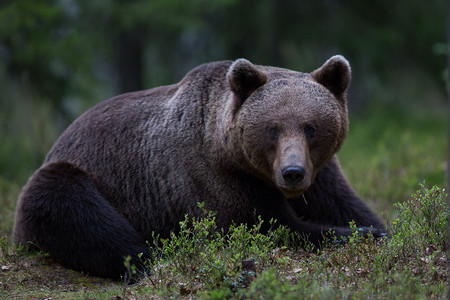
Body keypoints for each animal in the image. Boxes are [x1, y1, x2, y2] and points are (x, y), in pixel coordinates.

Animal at [14, 55, 386, 282]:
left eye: (311, 127)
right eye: (273, 129)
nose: (292, 173)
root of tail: (58, 141)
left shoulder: (321, 175)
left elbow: (346, 206)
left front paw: (374, 227)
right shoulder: (212, 178)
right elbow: (269, 225)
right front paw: (361, 234)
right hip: (75, 176)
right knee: (69, 204)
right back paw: (150, 256)